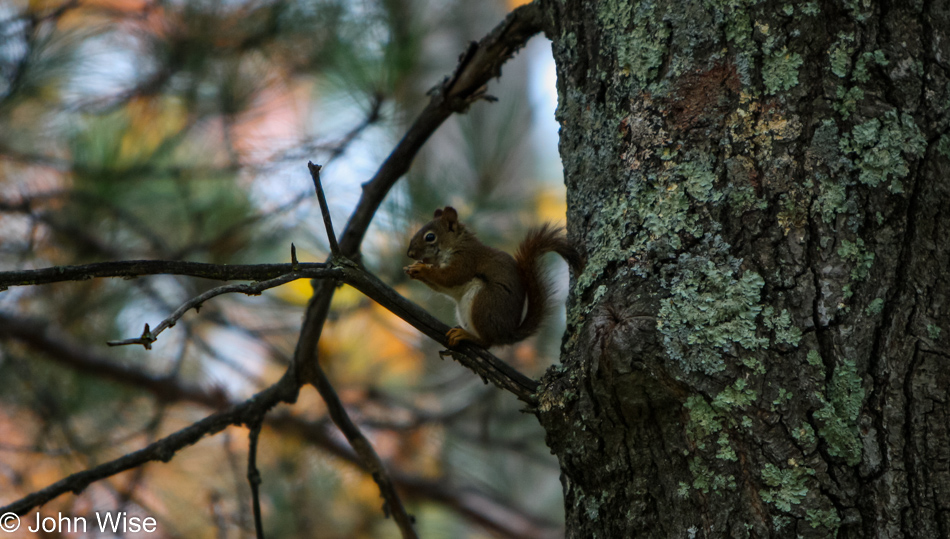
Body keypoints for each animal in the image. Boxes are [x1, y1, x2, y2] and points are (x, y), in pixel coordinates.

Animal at [404, 207, 584, 350]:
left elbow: (450, 277)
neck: (457, 243)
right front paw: (413, 269)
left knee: (487, 342)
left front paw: (421, 269)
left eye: (430, 237)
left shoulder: (466, 260)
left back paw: (467, 336)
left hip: (484, 303)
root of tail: (506, 334)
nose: (410, 254)